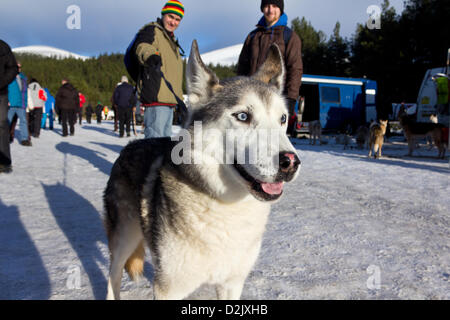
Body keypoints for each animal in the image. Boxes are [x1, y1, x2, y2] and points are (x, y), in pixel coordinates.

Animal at [104, 40, 302, 300]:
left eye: (283, 119)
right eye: (243, 116)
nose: (291, 162)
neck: (225, 205)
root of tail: (128, 146)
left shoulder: (232, 283)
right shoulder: (168, 288)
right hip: (124, 239)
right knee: (113, 275)